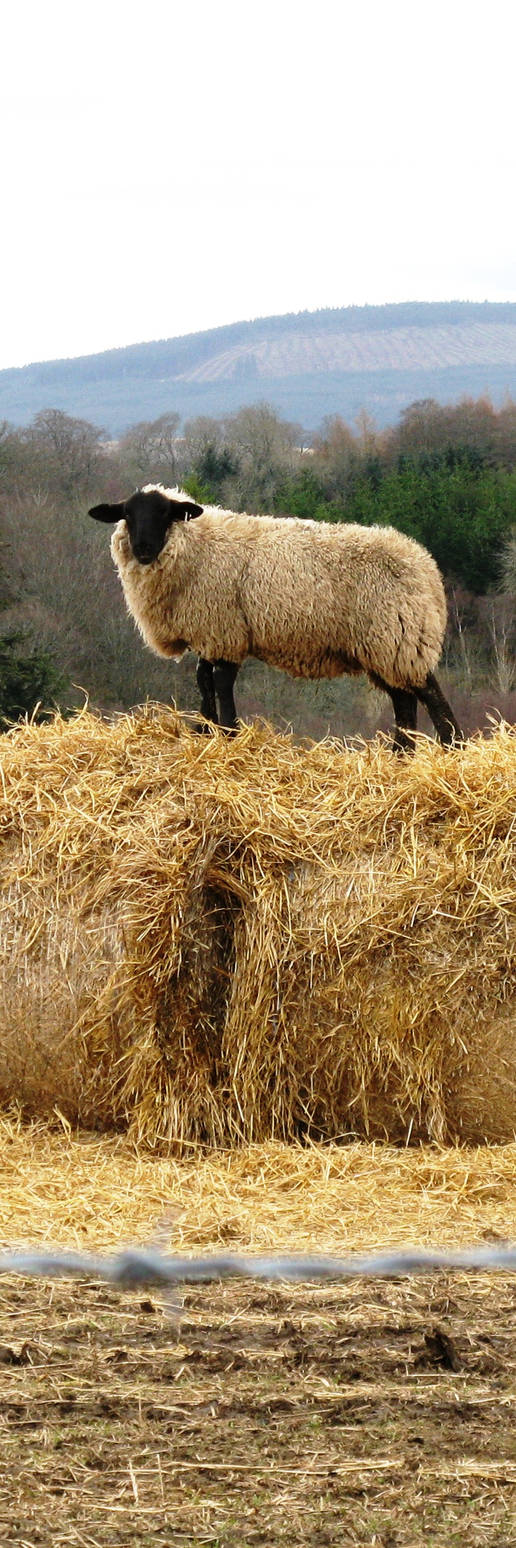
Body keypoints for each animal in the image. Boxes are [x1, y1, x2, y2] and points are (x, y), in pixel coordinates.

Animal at [89, 483, 463, 750]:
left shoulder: (226, 630)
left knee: (430, 695)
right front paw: (204, 731)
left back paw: (452, 748)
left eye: (165, 513)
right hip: (383, 647)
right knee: (404, 701)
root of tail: (427, 567)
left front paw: (229, 732)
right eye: (127, 514)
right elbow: (203, 681)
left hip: (402, 635)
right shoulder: (208, 632)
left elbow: (221, 683)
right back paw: (401, 756)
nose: (143, 549)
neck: (196, 548)